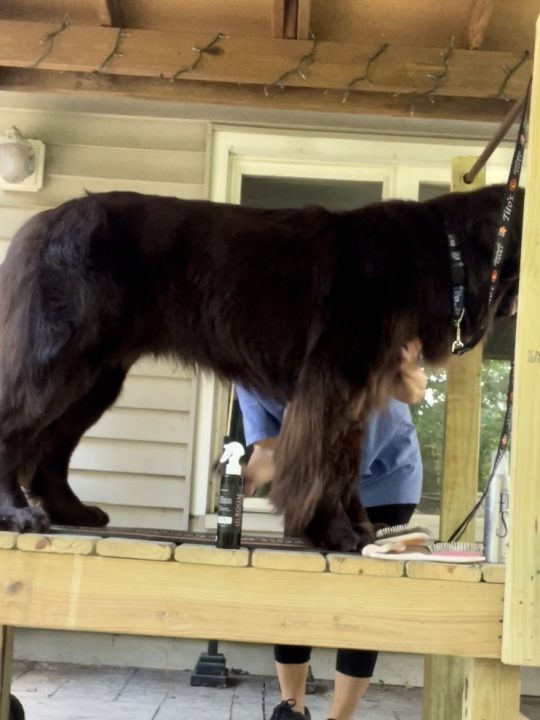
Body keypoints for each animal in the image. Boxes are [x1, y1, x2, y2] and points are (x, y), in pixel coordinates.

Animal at [0, 187, 520, 552]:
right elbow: (323, 466)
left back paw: (72, 510)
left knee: (52, 447)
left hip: (97, 375)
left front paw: (357, 529)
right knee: (17, 427)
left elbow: (344, 466)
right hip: (62, 357)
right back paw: (17, 513)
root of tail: (40, 222)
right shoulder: (333, 380)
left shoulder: (354, 390)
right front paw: (335, 531)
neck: (446, 253)